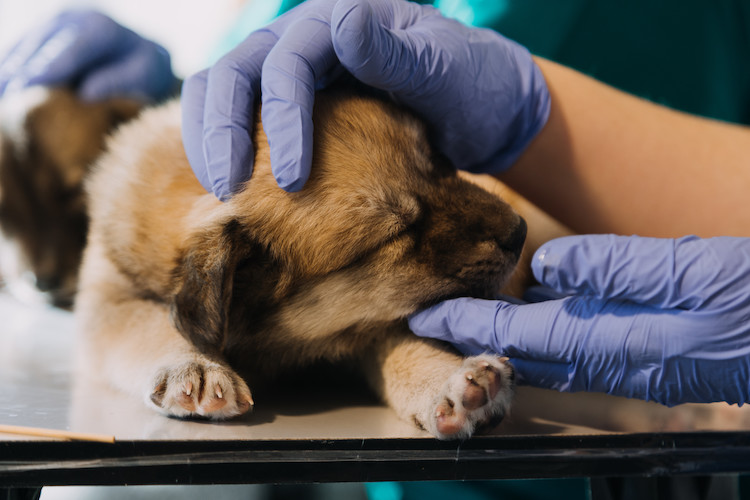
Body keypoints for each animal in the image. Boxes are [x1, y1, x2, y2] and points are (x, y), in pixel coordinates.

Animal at [75, 84, 540, 440]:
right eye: (398, 232)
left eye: (440, 163)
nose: (518, 232)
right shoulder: (107, 300)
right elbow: (149, 322)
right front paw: (195, 367)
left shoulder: (360, 323)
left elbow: (403, 341)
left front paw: (453, 382)